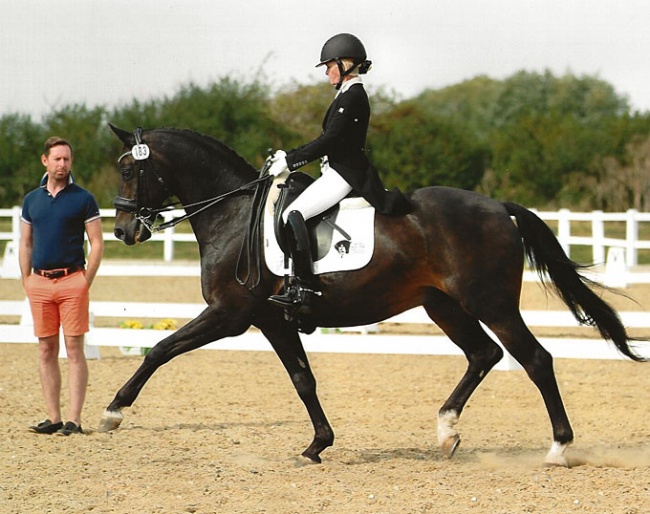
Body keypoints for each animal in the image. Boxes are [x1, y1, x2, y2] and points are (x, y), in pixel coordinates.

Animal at [101, 124, 644, 464]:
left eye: (129, 169)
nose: (125, 230)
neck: (235, 215)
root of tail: (498, 207)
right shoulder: (273, 320)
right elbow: (303, 380)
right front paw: (318, 445)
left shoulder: (229, 314)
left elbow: (160, 349)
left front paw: (113, 412)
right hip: (442, 304)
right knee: (484, 354)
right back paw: (446, 432)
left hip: (489, 303)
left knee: (534, 360)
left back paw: (557, 449)